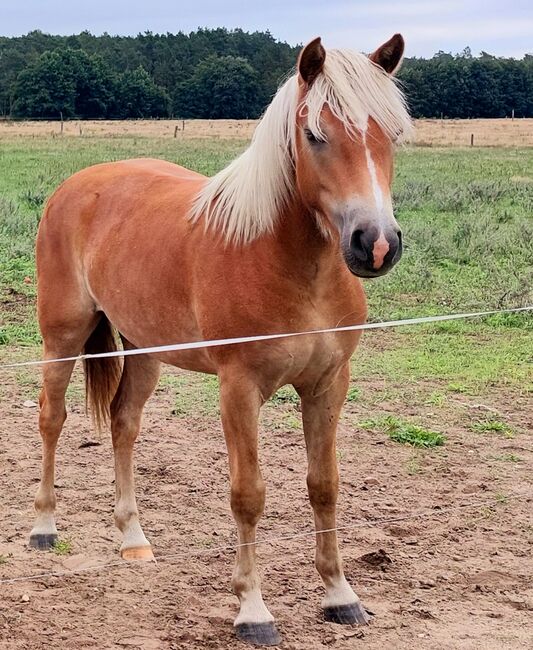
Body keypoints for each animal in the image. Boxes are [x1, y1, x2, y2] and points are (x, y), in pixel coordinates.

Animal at [33, 34, 412, 644]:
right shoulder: (239, 388)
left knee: (123, 423)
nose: (375, 244)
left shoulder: (328, 385)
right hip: (62, 335)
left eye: (391, 135)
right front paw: (253, 611)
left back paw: (133, 539)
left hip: (146, 349)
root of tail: (77, 185)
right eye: (315, 135)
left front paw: (340, 596)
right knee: (52, 417)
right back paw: (43, 527)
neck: (288, 263)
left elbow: (324, 485)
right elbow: (248, 495)